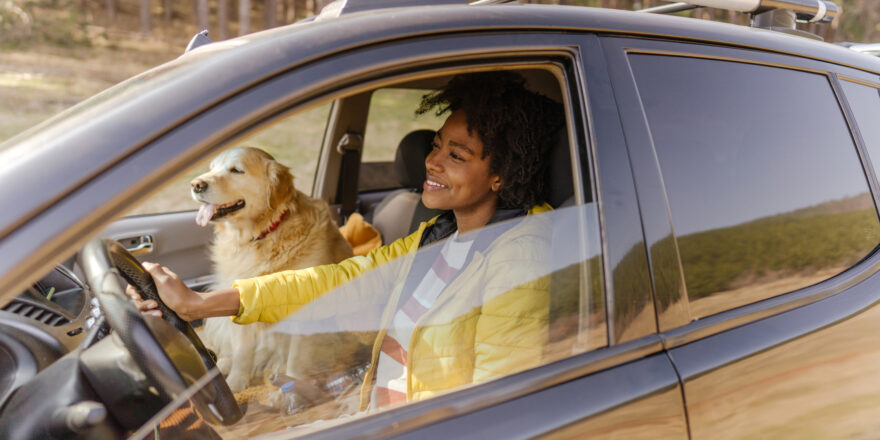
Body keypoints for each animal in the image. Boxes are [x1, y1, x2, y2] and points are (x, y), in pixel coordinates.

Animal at [191, 146, 360, 400]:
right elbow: (241, 351)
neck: (264, 234)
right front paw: (236, 384)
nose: (195, 184)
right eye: (212, 168)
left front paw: (293, 388)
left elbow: (297, 358)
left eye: (236, 170)